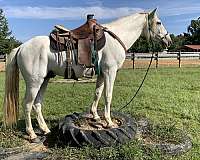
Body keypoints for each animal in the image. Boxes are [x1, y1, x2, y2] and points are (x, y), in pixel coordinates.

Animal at [3, 8, 172, 141]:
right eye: (158, 22)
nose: (169, 41)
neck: (115, 38)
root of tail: (21, 47)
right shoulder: (110, 72)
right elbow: (108, 95)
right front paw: (109, 122)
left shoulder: (102, 74)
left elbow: (97, 93)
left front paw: (95, 116)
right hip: (34, 82)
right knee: (27, 104)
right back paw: (32, 134)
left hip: (44, 80)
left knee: (37, 104)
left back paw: (45, 129)